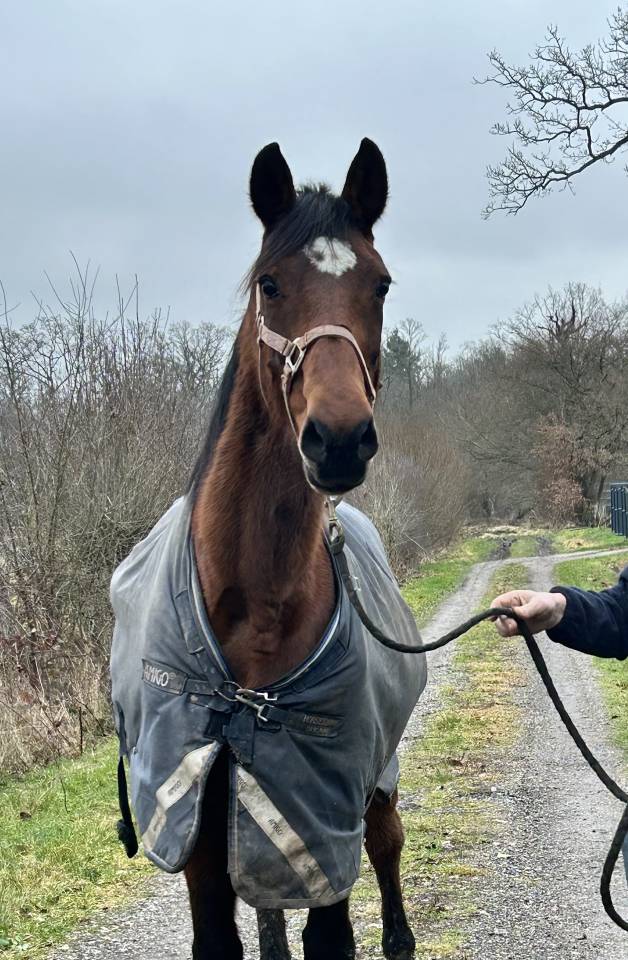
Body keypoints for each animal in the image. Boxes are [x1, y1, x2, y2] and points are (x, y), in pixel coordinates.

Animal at [110, 139, 423, 960]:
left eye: (380, 284)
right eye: (270, 284)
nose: (339, 440)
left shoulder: (322, 821)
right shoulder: (194, 818)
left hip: (376, 783)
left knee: (386, 846)